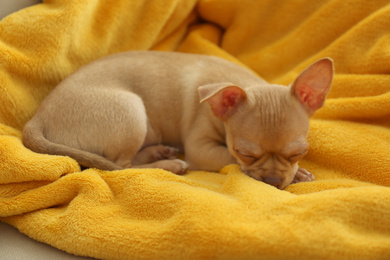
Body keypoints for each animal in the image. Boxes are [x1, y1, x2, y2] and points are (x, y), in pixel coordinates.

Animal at [22, 50, 334, 189]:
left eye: (298, 152)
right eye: (244, 153)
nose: (271, 180)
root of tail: (36, 118)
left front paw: (297, 173)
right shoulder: (201, 149)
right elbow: (229, 161)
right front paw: (298, 176)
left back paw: (160, 152)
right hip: (131, 111)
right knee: (120, 167)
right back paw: (170, 164)